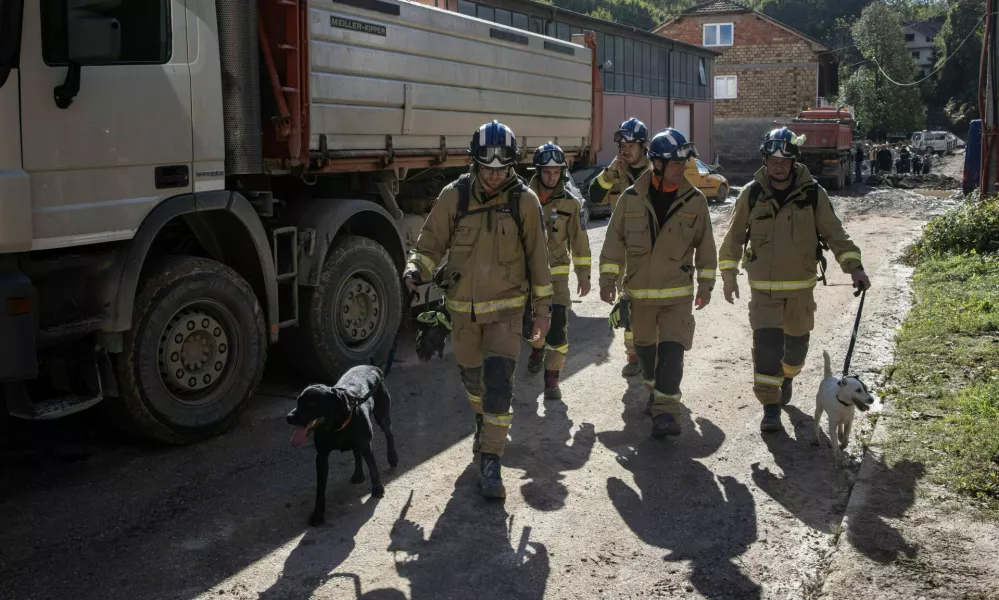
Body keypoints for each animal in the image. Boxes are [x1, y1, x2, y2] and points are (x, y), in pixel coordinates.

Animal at [286, 364, 398, 524]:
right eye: (298, 401)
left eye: (312, 403)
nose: (288, 417)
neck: (335, 427)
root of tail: (372, 367)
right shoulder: (321, 456)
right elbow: (320, 489)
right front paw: (318, 514)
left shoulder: (366, 444)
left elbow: (373, 467)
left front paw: (378, 488)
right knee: (356, 452)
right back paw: (358, 474)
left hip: (382, 415)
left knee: (389, 434)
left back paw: (393, 458)